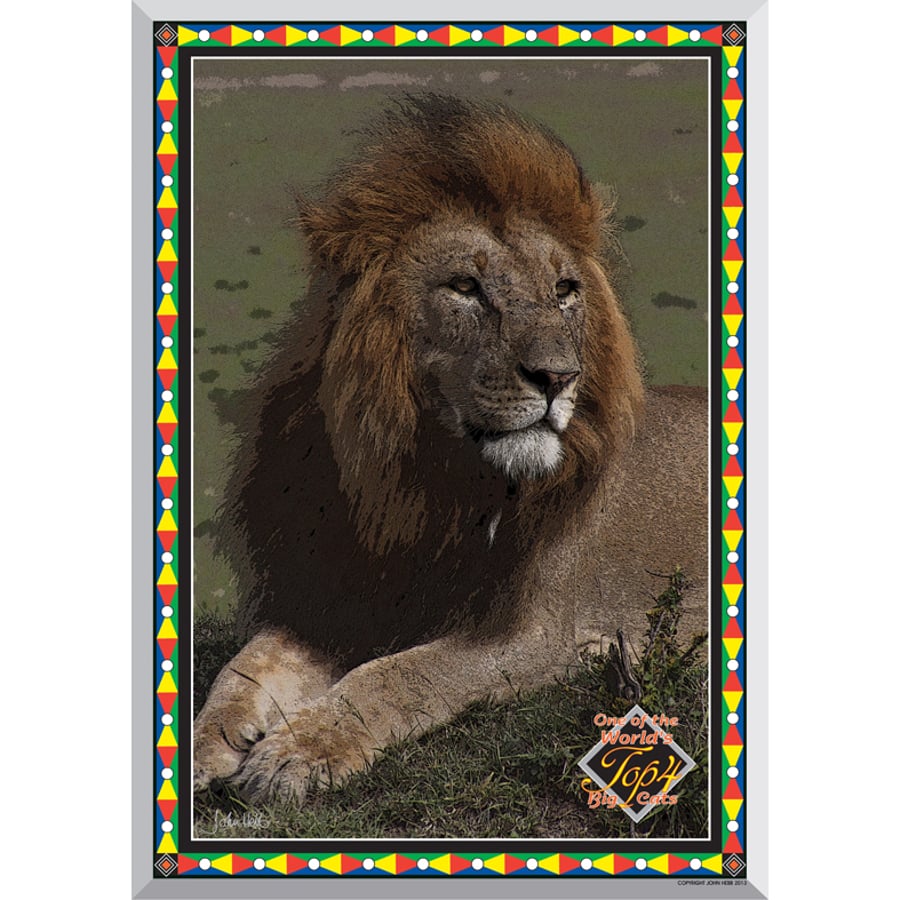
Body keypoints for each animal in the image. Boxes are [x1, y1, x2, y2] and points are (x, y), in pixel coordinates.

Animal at [193, 94, 709, 806]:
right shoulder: (332, 598)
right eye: (466, 287)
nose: (558, 377)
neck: (421, 480)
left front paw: (296, 753)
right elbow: (243, 670)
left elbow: (397, 676)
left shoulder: (543, 636)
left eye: (565, 291)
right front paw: (197, 747)